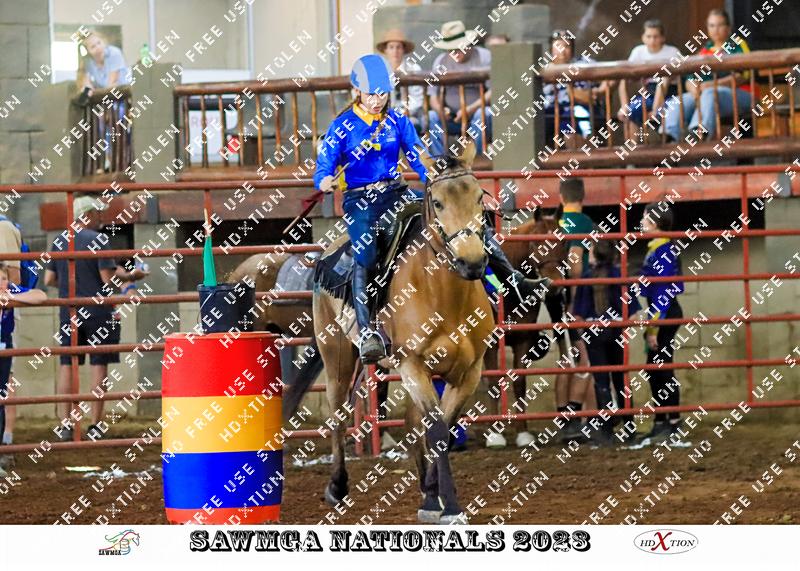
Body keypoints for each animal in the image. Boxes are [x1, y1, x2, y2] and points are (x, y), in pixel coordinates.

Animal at [284, 142, 496, 524]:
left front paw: (434, 498)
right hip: (336, 356)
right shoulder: (413, 364)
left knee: (412, 424)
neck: (443, 295)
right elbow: (437, 431)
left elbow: (441, 429)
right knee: (338, 414)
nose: (472, 262)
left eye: (479, 197)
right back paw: (337, 486)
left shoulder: (469, 372)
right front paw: (450, 507)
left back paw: (426, 491)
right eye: (437, 202)